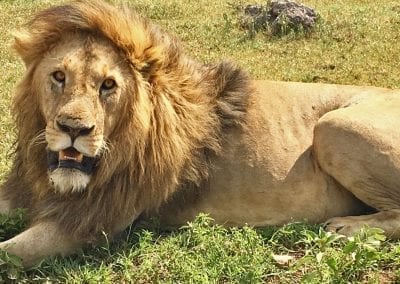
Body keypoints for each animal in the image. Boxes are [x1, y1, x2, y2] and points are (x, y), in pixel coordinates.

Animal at [0, 0, 400, 268]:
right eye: (58, 76)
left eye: (108, 85)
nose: (73, 129)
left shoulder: (92, 221)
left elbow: (10, 253)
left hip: (333, 127)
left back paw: (345, 227)